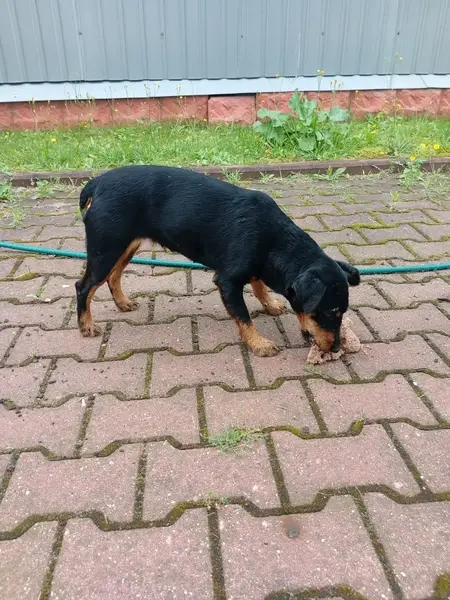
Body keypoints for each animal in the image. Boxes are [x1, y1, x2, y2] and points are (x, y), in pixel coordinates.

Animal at [75, 165, 360, 357]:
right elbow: (244, 317)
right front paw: (259, 344)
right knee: (84, 286)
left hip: (124, 247)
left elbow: (259, 285)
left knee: (113, 276)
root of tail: (96, 184)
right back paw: (86, 325)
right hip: (106, 249)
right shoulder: (228, 281)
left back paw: (122, 303)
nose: (336, 348)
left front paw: (270, 304)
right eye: (331, 311)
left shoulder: (254, 268)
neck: (274, 240)